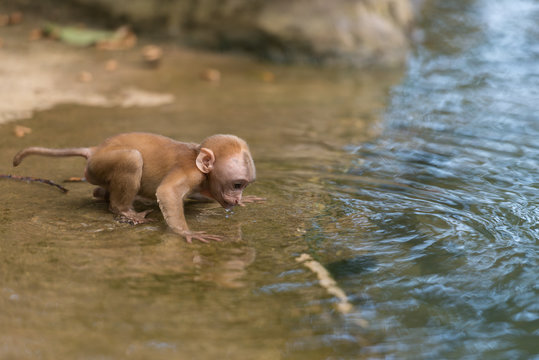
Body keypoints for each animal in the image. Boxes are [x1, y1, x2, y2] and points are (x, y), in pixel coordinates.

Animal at [13, 134, 262, 243]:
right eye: (237, 185)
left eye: (244, 186)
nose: (237, 199)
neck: (197, 160)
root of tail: (94, 149)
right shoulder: (190, 172)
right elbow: (167, 192)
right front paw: (187, 233)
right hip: (97, 166)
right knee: (132, 159)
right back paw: (123, 210)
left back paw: (102, 196)